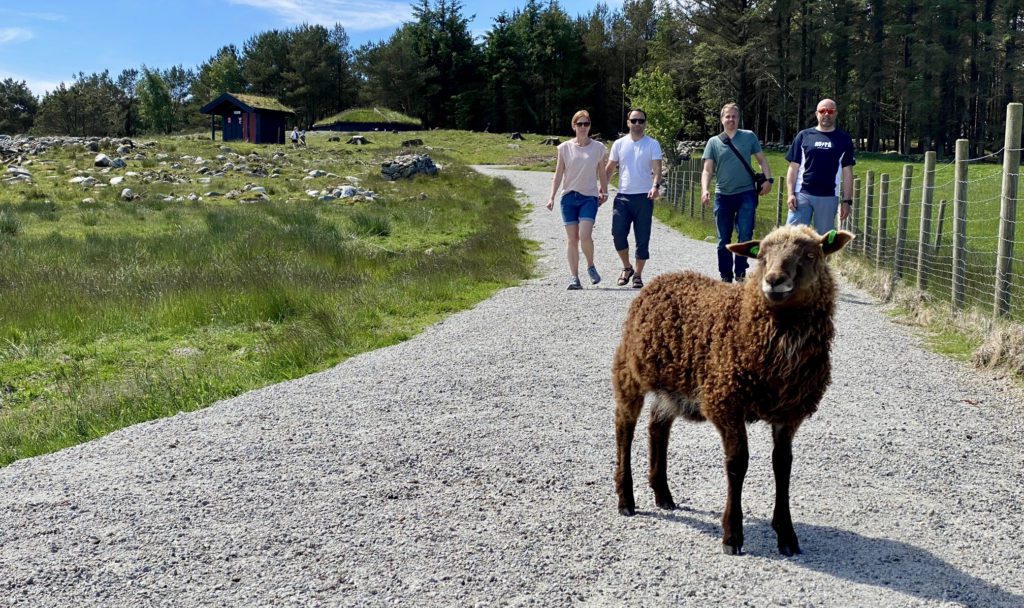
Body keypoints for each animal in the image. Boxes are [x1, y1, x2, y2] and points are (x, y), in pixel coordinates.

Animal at [610, 224, 851, 552]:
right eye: (761, 255)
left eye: (811, 254)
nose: (774, 280)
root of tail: (662, 279)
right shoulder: (726, 402)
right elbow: (737, 464)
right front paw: (732, 535)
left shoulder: (789, 413)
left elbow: (783, 466)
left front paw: (787, 535)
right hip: (630, 372)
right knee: (625, 428)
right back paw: (626, 499)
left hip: (672, 387)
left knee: (658, 428)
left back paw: (663, 494)